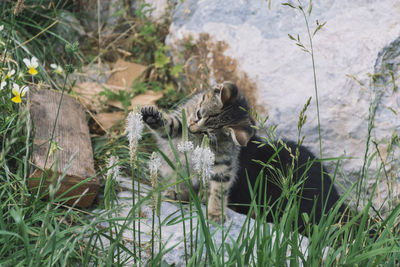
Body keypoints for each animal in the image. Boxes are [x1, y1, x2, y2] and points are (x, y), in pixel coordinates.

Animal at [141, 81, 344, 228]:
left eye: (207, 133)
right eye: (198, 114)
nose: (192, 129)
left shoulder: (224, 162)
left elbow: (219, 189)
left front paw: (215, 212)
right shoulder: (182, 124)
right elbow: (170, 126)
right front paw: (154, 117)